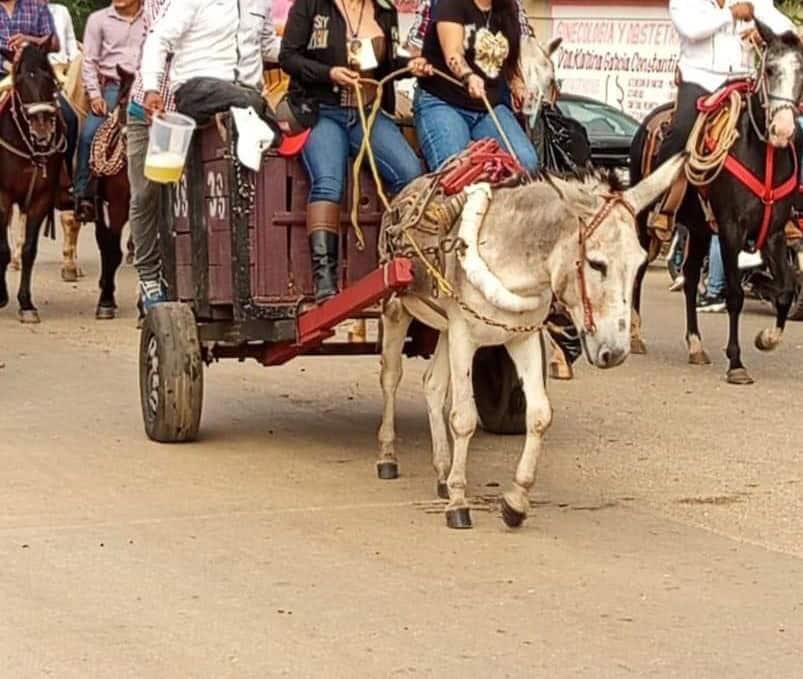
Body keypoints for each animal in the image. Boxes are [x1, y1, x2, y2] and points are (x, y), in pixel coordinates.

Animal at [628, 23, 803, 386]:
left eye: (801, 73)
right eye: (769, 69)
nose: (783, 130)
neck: (761, 157)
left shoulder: (774, 233)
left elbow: (785, 290)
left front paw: (766, 338)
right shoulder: (731, 229)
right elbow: (735, 294)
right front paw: (736, 362)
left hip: (697, 228)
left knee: (691, 276)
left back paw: (695, 345)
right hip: (646, 218)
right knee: (639, 267)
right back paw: (635, 335)